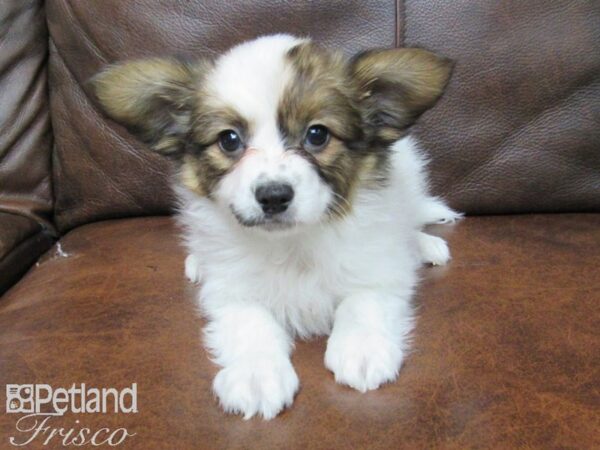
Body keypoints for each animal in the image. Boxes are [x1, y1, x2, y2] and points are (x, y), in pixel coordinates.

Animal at [94, 33, 460, 420]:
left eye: (318, 134)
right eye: (229, 140)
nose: (273, 196)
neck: (293, 243)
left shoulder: (376, 269)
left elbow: (362, 301)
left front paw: (362, 349)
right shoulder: (231, 292)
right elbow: (251, 322)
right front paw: (256, 374)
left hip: (410, 170)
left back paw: (426, 244)